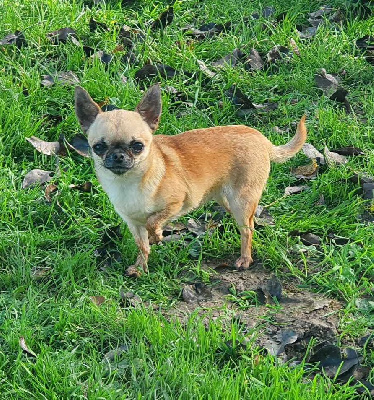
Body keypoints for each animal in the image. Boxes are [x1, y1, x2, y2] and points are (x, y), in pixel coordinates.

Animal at [74, 84, 306, 276]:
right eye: (98, 147)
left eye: (137, 146)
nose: (118, 156)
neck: (129, 183)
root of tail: (262, 139)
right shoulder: (133, 224)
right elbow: (142, 245)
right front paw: (141, 267)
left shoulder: (177, 203)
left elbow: (152, 221)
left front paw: (157, 236)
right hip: (227, 200)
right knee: (249, 224)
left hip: (241, 200)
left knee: (247, 230)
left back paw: (245, 259)